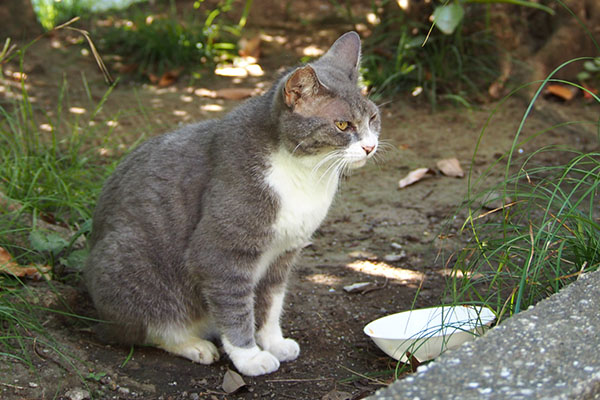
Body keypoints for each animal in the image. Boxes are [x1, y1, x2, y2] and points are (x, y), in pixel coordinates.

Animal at [83, 30, 380, 376]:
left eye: (373, 118)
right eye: (343, 125)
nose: (371, 147)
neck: (306, 175)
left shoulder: (283, 253)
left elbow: (271, 302)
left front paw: (274, 342)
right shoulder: (219, 253)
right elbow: (236, 307)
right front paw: (249, 357)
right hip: (129, 264)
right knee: (150, 329)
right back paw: (195, 345)